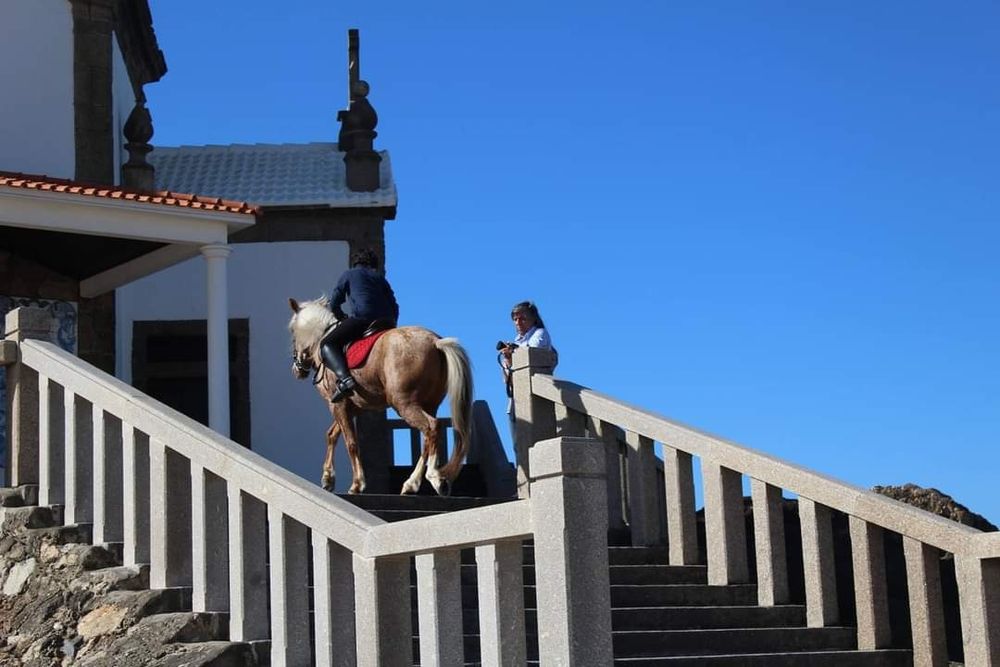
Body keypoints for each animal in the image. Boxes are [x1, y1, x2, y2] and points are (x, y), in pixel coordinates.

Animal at [287, 297, 473, 496]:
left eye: (292, 333)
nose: (297, 370)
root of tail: (434, 341)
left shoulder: (338, 404)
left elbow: (351, 442)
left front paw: (357, 484)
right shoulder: (353, 406)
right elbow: (332, 435)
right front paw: (328, 478)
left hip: (404, 403)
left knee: (431, 427)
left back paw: (434, 477)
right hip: (429, 404)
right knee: (427, 436)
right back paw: (411, 484)